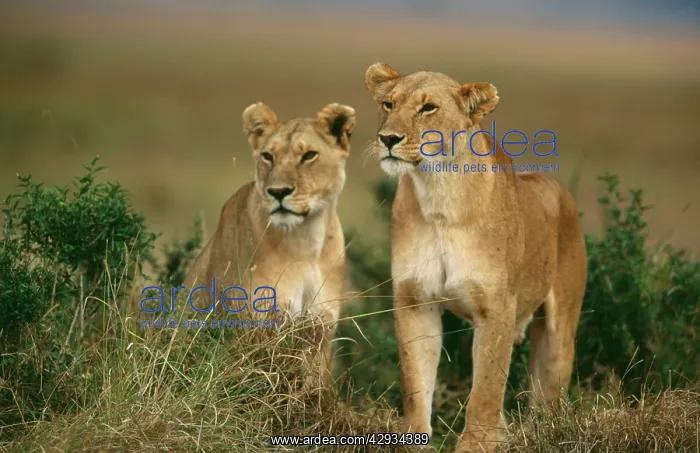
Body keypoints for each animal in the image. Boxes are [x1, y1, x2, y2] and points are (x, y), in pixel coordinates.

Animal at [182, 101, 356, 384]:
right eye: (267, 156)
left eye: (309, 156)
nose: (278, 192)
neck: (306, 243)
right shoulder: (251, 324)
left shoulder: (320, 329)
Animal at [364, 63, 587, 453]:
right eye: (388, 104)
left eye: (428, 108)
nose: (388, 138)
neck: (438, 193)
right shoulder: (414, 301)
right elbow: (415, 380)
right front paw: (413, 440)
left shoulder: (496, 306)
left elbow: (486, 388)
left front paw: (477, 444)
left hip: (559, 332)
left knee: (550, 396)